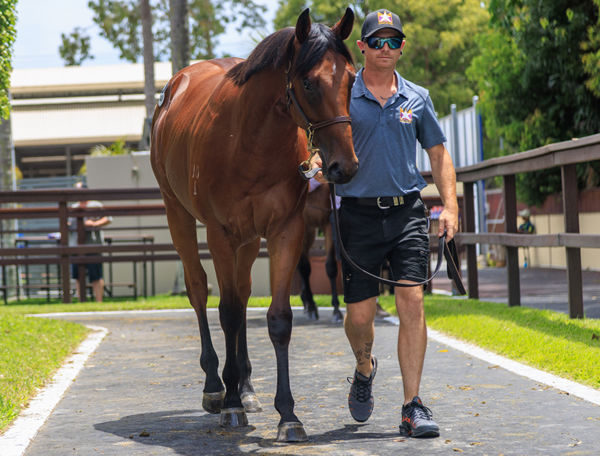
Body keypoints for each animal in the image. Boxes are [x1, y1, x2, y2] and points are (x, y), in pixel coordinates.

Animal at [150, 7, 356, 442]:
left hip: (248, 240)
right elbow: (226, 312)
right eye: (309, 82)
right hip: (179, 214)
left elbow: (278, 319)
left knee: (243, 295)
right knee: (200, 290)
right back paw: (217, 386)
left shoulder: (285, 230)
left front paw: (287, 415)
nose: (342, 167)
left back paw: (244, 387)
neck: (248, 140)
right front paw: (228, 404)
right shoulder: (220, 234)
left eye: (350, 77)